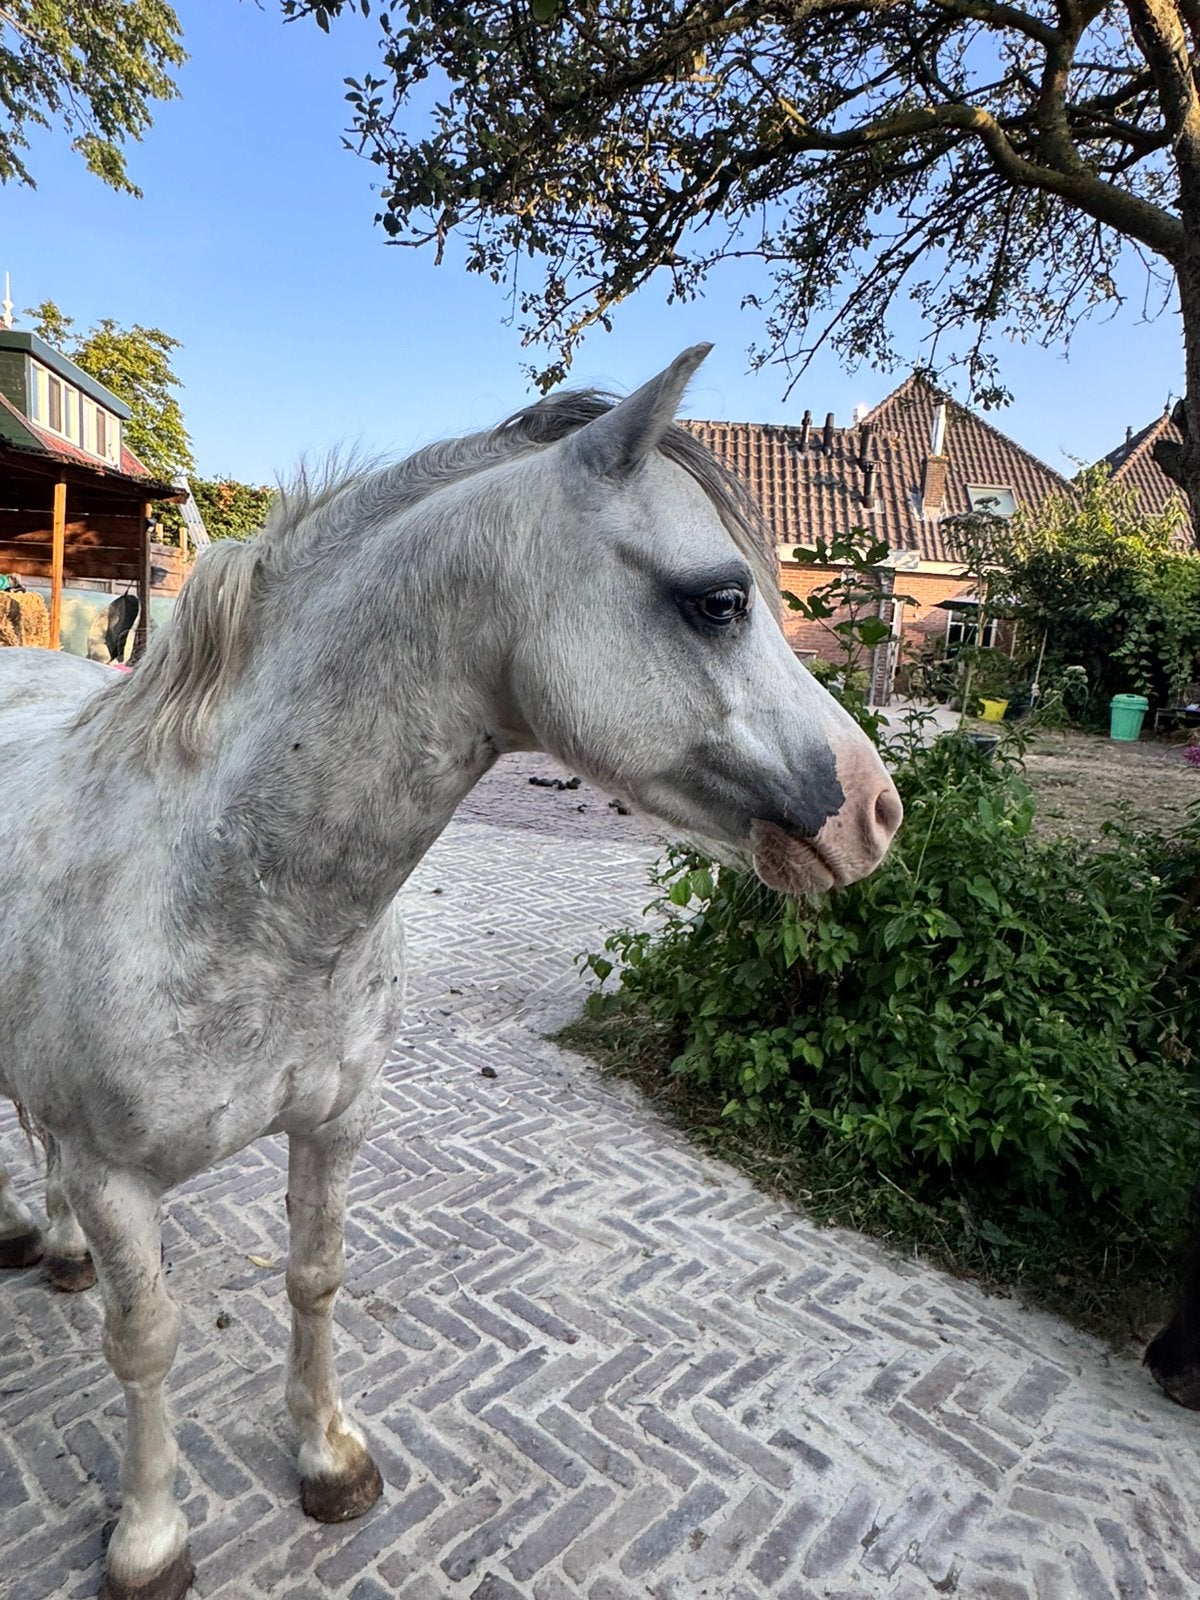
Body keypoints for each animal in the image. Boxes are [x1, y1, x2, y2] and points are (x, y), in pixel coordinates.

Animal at [0, 346, 902, 1600]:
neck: (225, 893)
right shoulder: (117, 1177)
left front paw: (327, 1458)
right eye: (720, 600)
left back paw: (61, 1249)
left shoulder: (335, 1125)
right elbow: (147, 1343)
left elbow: (314, 1277)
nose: (878, 811)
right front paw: (148, 1535)